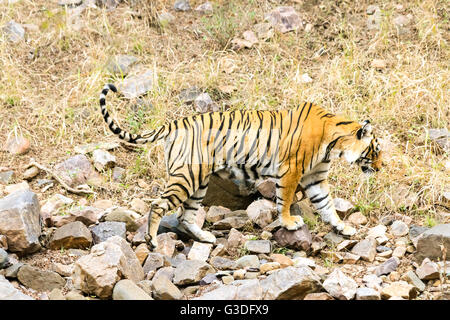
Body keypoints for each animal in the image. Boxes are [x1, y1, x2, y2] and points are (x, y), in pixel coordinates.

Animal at [98, 84, 380, 249]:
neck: (334, 143)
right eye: (376, 150)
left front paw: (342, 227)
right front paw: (289, 223)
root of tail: (173, 123)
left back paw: (206, 238)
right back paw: (153, 241)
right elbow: (285, 200)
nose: (380, 167)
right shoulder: (291, 171)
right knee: (159, 205)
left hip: (199, 182)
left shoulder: (315, 177)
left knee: (184, 216)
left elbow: (327, 205)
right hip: (187, 177)